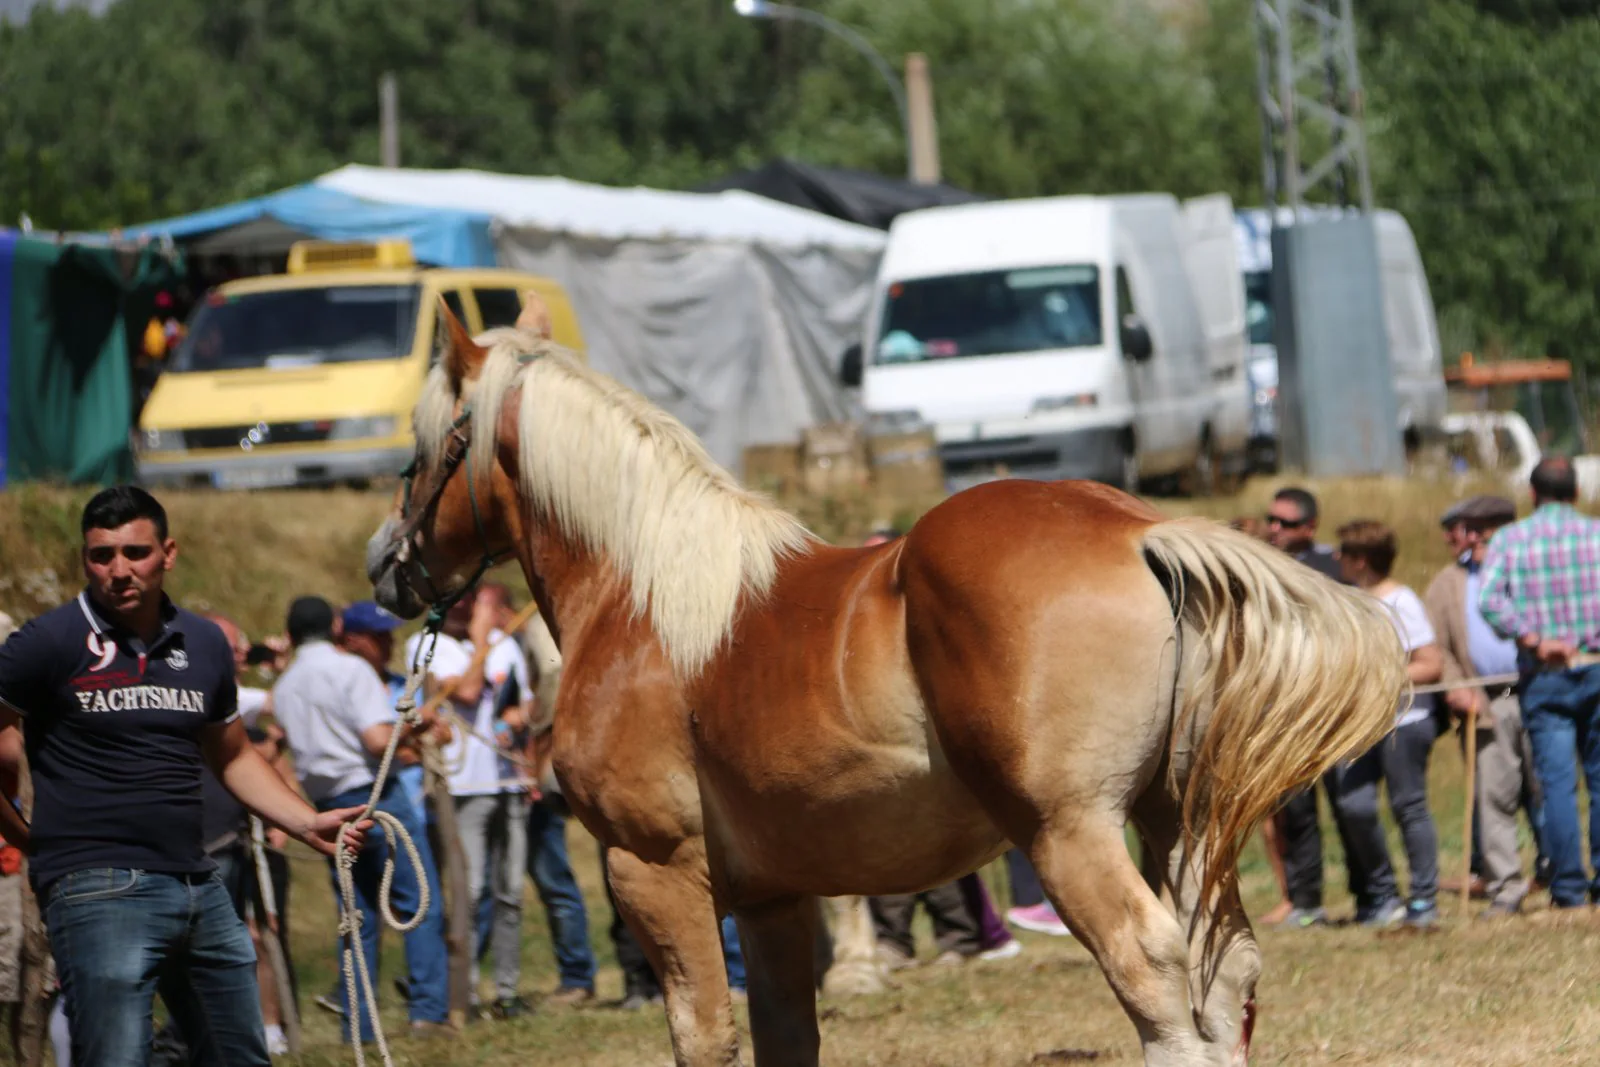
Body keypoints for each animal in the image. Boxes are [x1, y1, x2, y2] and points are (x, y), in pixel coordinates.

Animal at [368, 310, 1408, 1067]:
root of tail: (1135, 528)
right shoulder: (774, 901)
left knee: (1154, 980)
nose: (386, 566)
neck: (641, 599)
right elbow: (787, 1039)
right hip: (1177, 821)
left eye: (419, 450)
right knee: (1222, 972)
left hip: (1071, 835)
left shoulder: (653, 871)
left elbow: (704, 1038)